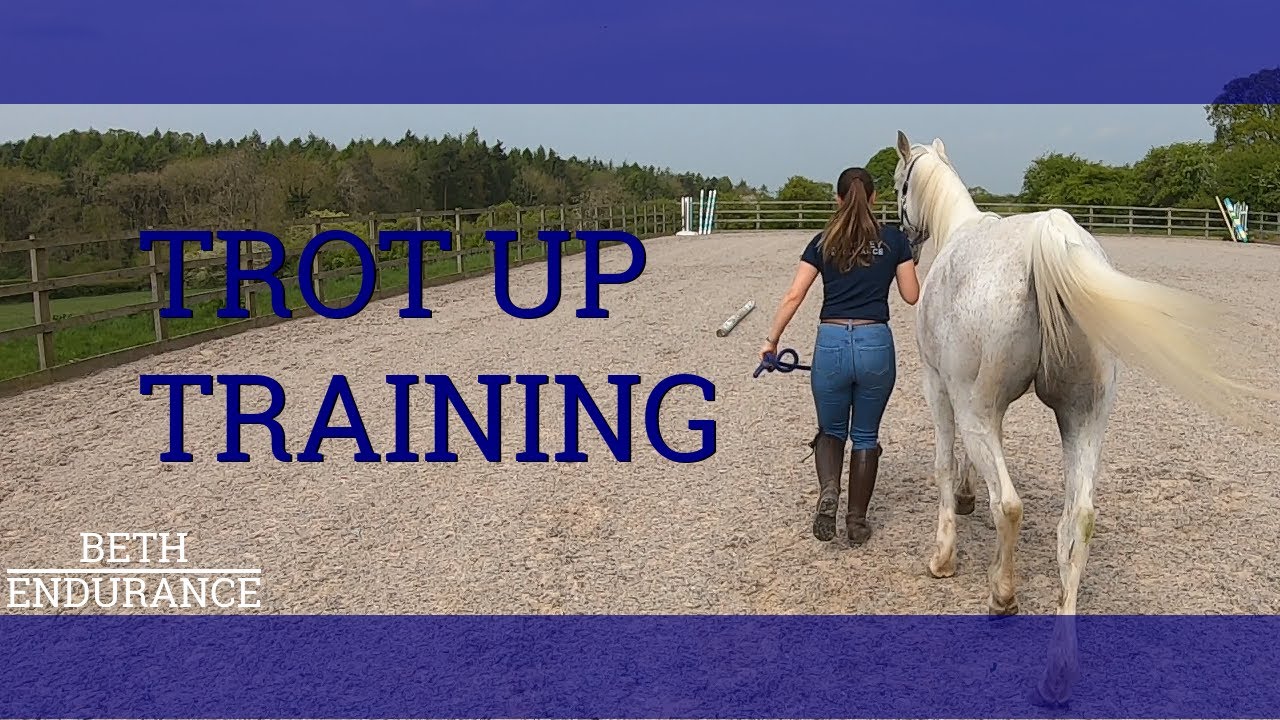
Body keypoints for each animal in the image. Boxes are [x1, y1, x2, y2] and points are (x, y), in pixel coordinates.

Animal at [890, 130, 1278, 702]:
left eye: (899, 184)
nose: (906, 243)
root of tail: (1048, 240)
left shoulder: (938, 387)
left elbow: (944, 466)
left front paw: (943, 557)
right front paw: (966, 498)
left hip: (981, 411)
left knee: (1010, 505)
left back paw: (1002, 596)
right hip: (1083, 421)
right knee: (1078, 522)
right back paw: (1059, 669)